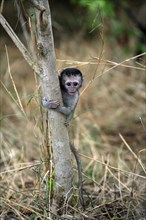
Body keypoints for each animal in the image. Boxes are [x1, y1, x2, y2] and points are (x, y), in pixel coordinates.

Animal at [41, 68, 84, 208]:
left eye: (75, 84)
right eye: (68, 84)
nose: (72, 89)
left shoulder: (76, 96)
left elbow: (69, 110)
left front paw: (56, 107)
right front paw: (46, 104)